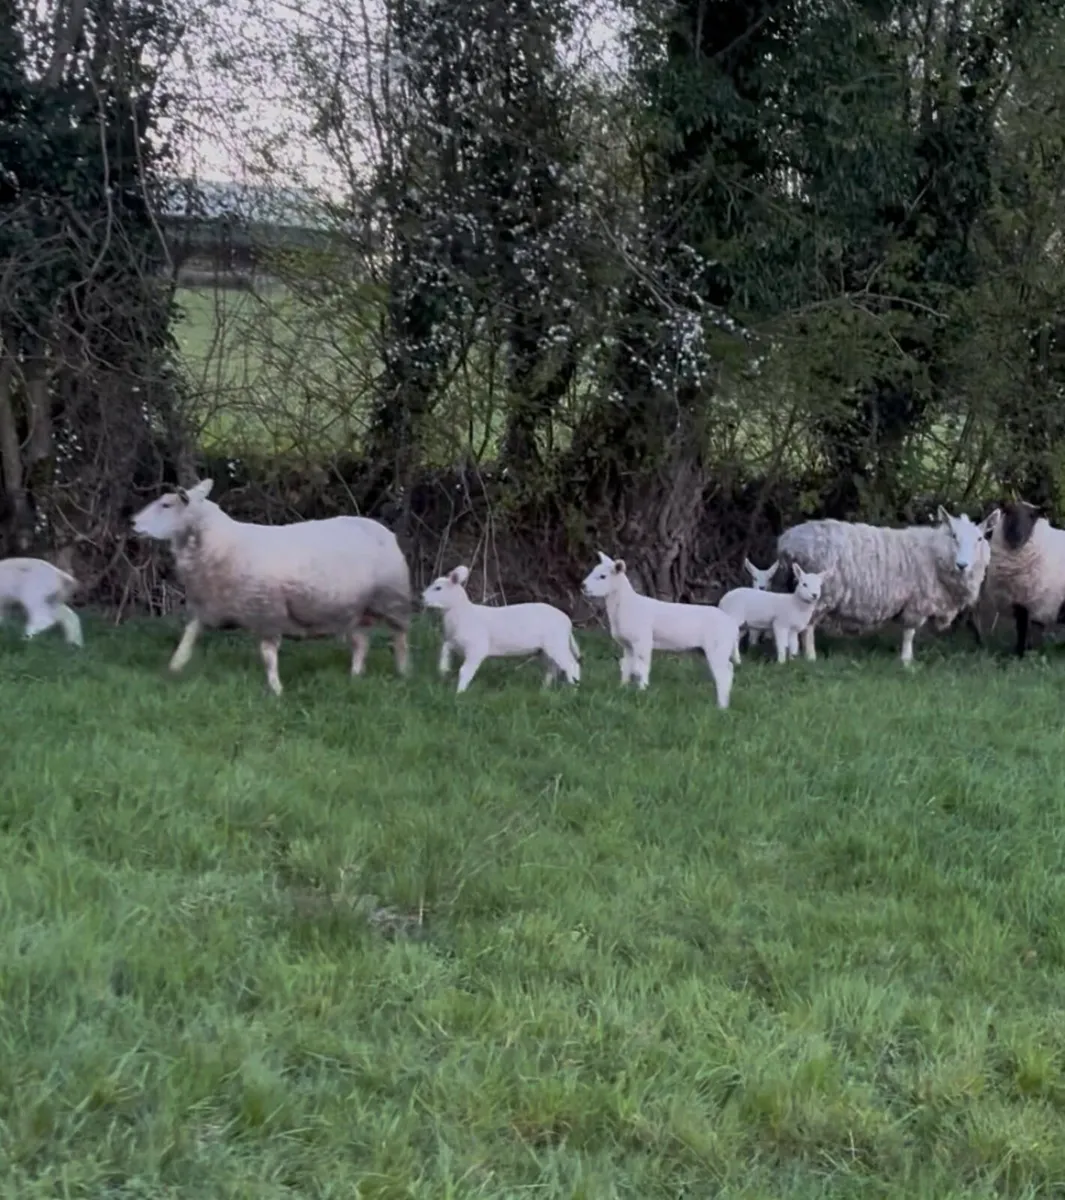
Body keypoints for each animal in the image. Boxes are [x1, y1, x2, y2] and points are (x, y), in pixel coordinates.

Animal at [130, 478, 412, 695]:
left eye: (166, 505)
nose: (132, 522)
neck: (220, 544)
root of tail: (386, 531)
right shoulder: (210, 607)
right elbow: (189, 635)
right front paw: (175, 666)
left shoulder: (267, 612)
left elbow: (267, 655)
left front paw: (276, 689)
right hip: (354, 609)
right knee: (361, 643)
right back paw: (355, 675)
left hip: (391, 600)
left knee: (399, 639)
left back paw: (403, 672)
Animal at [421, 564, 580, 693]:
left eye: (438, 588)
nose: (422, 597)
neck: (462, 612)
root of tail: (567, 621)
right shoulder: (454, 641)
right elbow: (444, 648)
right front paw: (443, 669)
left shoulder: (477, 648)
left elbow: (465, 671)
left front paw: (459, 693)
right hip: (546, 649)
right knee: (553, 668)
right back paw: (544, 689)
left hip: (556, 644)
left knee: (571, 665)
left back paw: (573, 690)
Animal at [580, 551, 741, 707]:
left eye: (602, 576)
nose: (583, 586)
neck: (627, 605)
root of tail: (731, 624)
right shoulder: (628, 644)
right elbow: (627, 666)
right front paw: (622, 688)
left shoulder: (642, 640)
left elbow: (641, 667)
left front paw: (642, 691)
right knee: (729, 669)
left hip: (718, 646)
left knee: (723, 673)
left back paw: (721, 706)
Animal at [775, 507, 1001, 665]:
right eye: (954, 536)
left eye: (980, 538)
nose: (962, 565)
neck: (935, 553)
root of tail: (787, 541)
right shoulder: (917, 602)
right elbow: (909, 632)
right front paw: (907, 661)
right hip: (818, 593)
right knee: (808, 627)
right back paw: (810, 657)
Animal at [980, 499, 1065, 657]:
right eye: (1008, 512)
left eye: (1032, 516)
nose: (1016, 536)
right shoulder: (1019, 603)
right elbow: (1021, 629)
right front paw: (1019, 653)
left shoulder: (1039, 603)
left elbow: (1032, 632)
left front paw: (1028, 654)